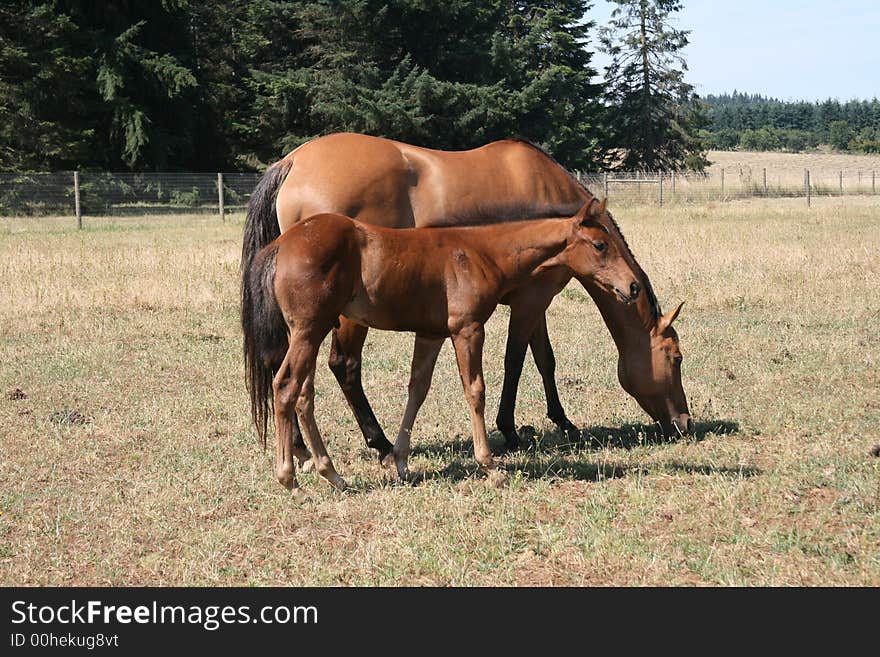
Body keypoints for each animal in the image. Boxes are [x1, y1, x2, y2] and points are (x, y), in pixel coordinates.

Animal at [242, 132, 696, 462]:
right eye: (675, 359)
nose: (685, 423)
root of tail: (293, 162)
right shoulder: (531, 300)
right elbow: (517, 361)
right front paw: (510, 429)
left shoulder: (534, 301)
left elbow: (544, 360)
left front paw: (562, 422)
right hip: (343, 315)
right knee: (342, 366)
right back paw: (380, 444)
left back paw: (301, 447)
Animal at [242, 197, 640, 494]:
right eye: (600, 245)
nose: (633, 286)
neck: (480, 252)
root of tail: (281, 243)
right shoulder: (468, 329)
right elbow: (475, 391)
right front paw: (490, 466)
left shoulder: (431, 334)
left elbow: (417, 390)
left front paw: (401, 461)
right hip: (311, 329)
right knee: (286, 386)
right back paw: (290, 479)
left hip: (307, 332)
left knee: (304, 394)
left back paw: (332, 473)